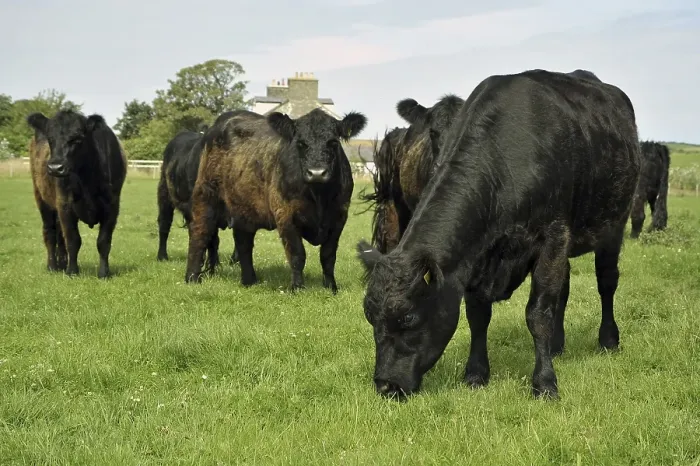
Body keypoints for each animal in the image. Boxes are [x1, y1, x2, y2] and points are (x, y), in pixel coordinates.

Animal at [27, 109, 127, 278]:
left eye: (77, 139)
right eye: (50, 138)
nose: (55, 167)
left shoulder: (112, 206)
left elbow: (103, 241)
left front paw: (104, 273)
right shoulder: (65, 204)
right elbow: (73, 240)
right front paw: (72, 271)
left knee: (59, 234)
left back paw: (61, 264)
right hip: (42, 199)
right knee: (50, 233)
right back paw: (52, 266)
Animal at [184, 108, 367, 293]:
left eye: (333, 143)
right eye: (300, 143)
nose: (317, 173)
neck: (319, 196)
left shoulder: (339, 217)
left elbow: (328, 256)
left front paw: (331, 287)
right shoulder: (285, 215)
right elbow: (297, 254)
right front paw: (297, 288)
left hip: (243, 208)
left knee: (243, 244)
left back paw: (249, 281)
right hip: (205, 197)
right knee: (200, 234)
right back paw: (192, 278)